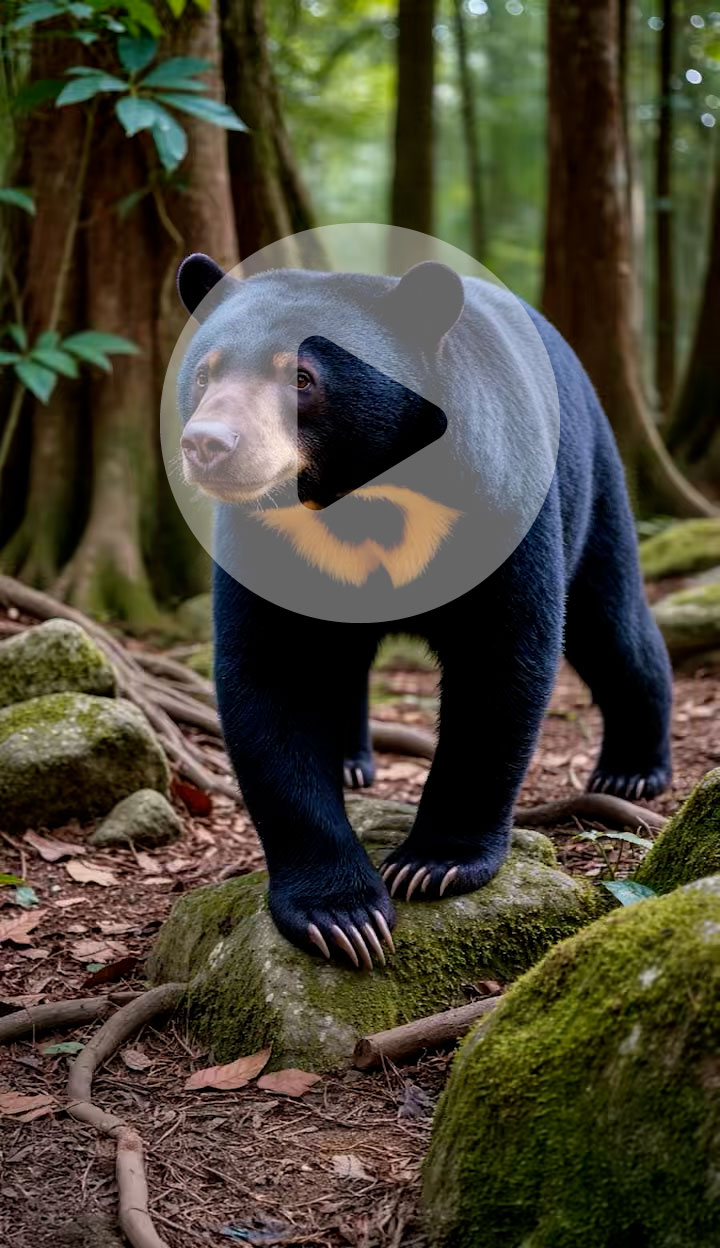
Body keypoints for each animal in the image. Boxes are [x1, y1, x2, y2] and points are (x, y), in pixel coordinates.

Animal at [175, 252, 673, 970]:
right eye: (205, 373)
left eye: (301, 377)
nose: (209, 445)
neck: (361, 501)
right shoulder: (265, 537)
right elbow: (272, 677)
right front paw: (342, 915)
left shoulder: (494, 497)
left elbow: (501, 657)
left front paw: (434, 865)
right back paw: (352, 761)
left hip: (596, 476)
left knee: (612, 623)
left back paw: (633, 771)